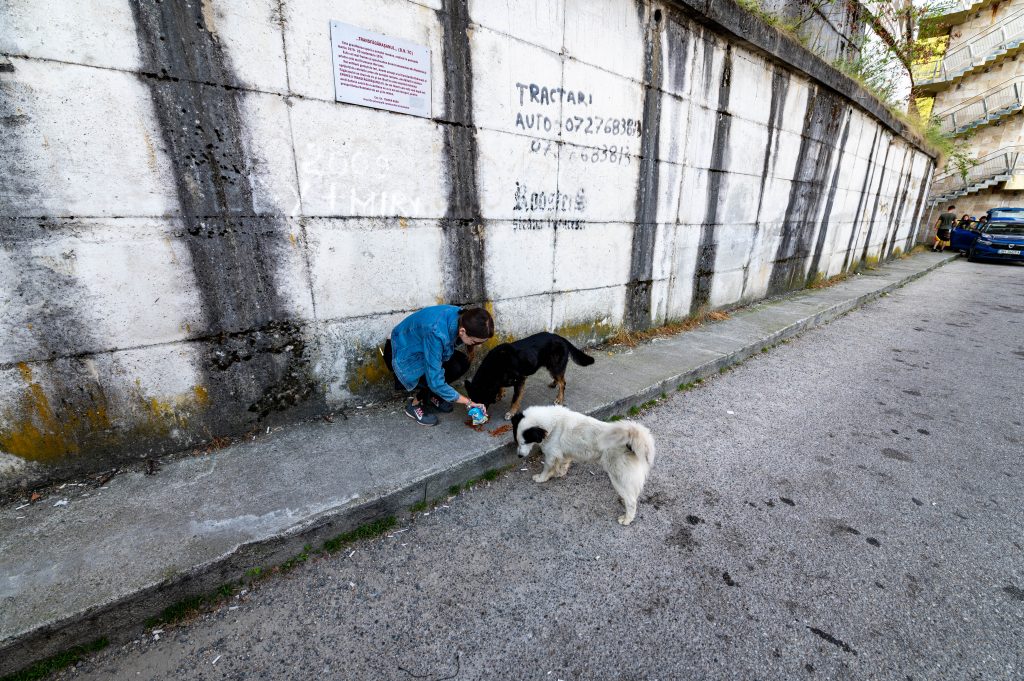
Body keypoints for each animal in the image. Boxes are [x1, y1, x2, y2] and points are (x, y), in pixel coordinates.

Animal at [462, 329, 593, 419]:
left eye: (480, 401)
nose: (473, 414)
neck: (497, 365)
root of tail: (559, 337)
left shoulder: (520, 380)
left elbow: (515, 399)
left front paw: (511, 412)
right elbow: (500, 386)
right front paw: (500, 394)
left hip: (555, 366)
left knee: (563, 383)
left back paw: (559, 399)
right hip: (551, 367)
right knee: (559, 379)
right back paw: (553, 384)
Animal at [509, 403, 655, 524]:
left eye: (525, 442)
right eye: (517, 441)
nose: (519, 455)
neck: (552, 424)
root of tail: (630, 442)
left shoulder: (551, 455)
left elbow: (547, 468)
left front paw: (541, 478)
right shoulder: (563, 453)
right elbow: (563, 464)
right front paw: (560, 473)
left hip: (619, 477)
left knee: (632, 501)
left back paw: (627, 519)